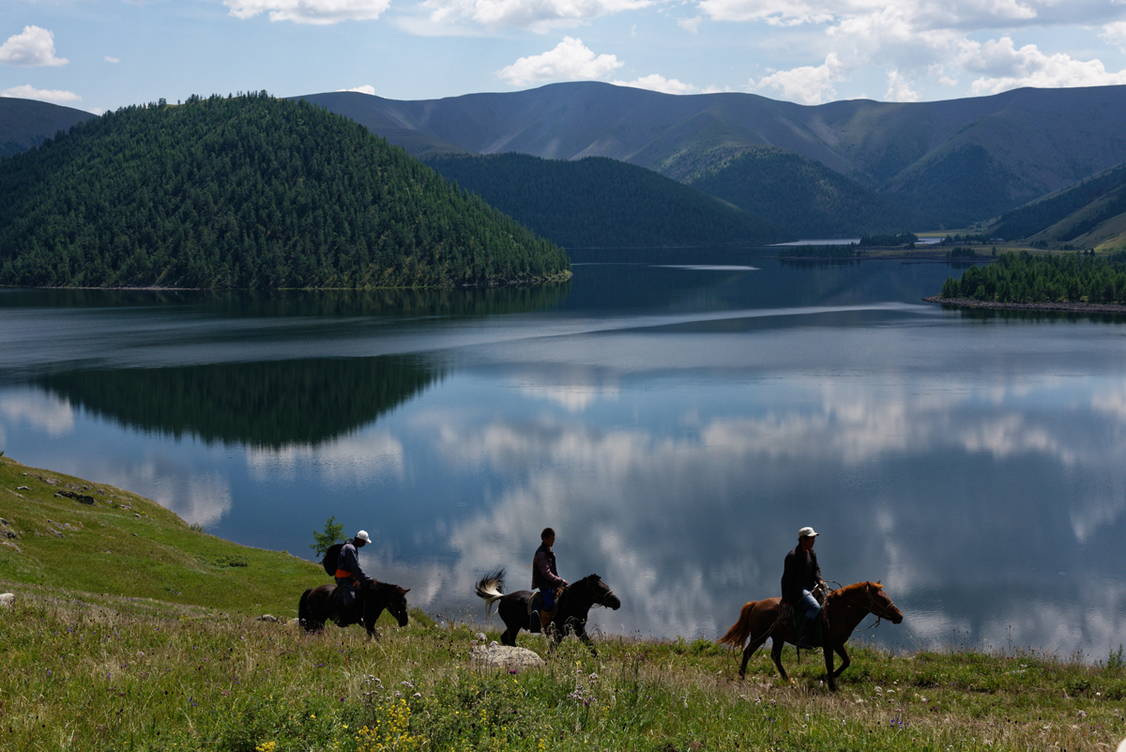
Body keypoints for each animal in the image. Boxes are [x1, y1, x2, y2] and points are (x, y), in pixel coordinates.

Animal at [470, 569, 621, 652]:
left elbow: (590, 647)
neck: (570, 602)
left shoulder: (578, 629)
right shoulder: (560, 631)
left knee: (505, 638)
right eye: (599, 588)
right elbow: (553, 649)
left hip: (513, 625)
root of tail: (503, 597)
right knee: (510, 639)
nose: (617, 602)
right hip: (514, 626)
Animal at [720, 580, 905, 693]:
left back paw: (787, 679)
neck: (838, 612)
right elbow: (831, 664)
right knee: (748, 652)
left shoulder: (838, 644)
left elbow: (846, 662)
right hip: (760, 636)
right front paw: (831, 685)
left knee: (775, 656)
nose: (899, 616)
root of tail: (756, 604)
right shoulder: (829, 645)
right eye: (881, 599)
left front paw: (827, 679)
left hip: (777, 638)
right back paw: (742, 676)